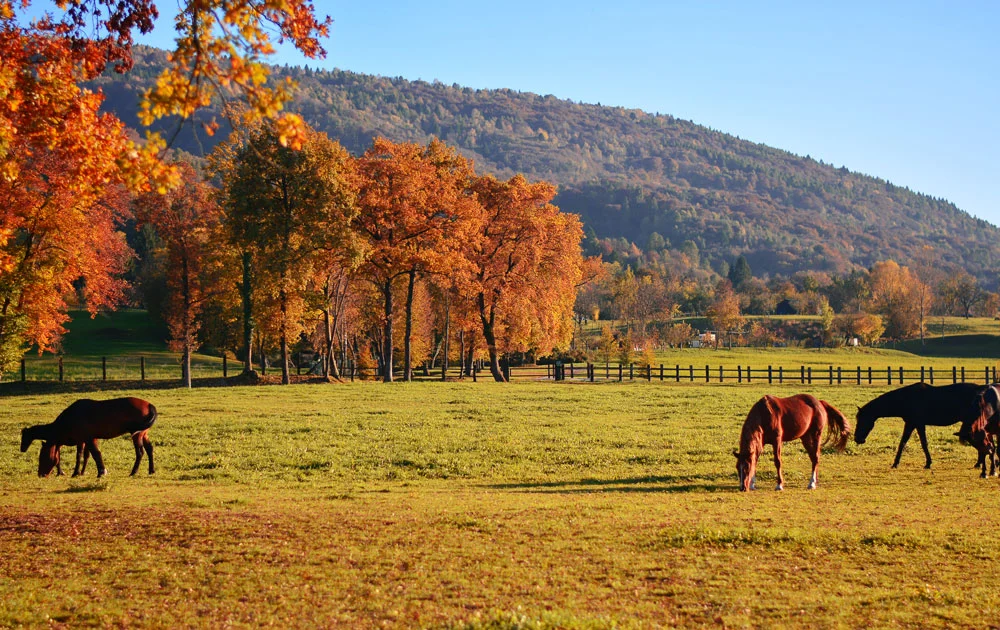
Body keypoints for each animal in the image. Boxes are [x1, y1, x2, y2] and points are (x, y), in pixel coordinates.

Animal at [21, 397, 157, 478]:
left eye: (42, 457)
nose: (40, 474)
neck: (70, 418)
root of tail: (149, 405)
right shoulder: (84, 440)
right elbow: (83, 455)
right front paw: (78, 472)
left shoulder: (88, 439)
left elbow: (95, 454)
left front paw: (101, 472)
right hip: (144, 434)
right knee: (149, 449)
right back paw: (151, 470)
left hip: (136, 435)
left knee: (140, 452)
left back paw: (133, 472)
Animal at [854, 382, 988, 469]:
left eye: (862, 420)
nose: (857, 439)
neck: (906, 399)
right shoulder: (911, 423)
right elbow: (903, 442)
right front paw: (896, 463)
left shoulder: (917, 424)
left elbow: (922, 443)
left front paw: (928, 463)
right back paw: (979, 463)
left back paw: (979, 463)